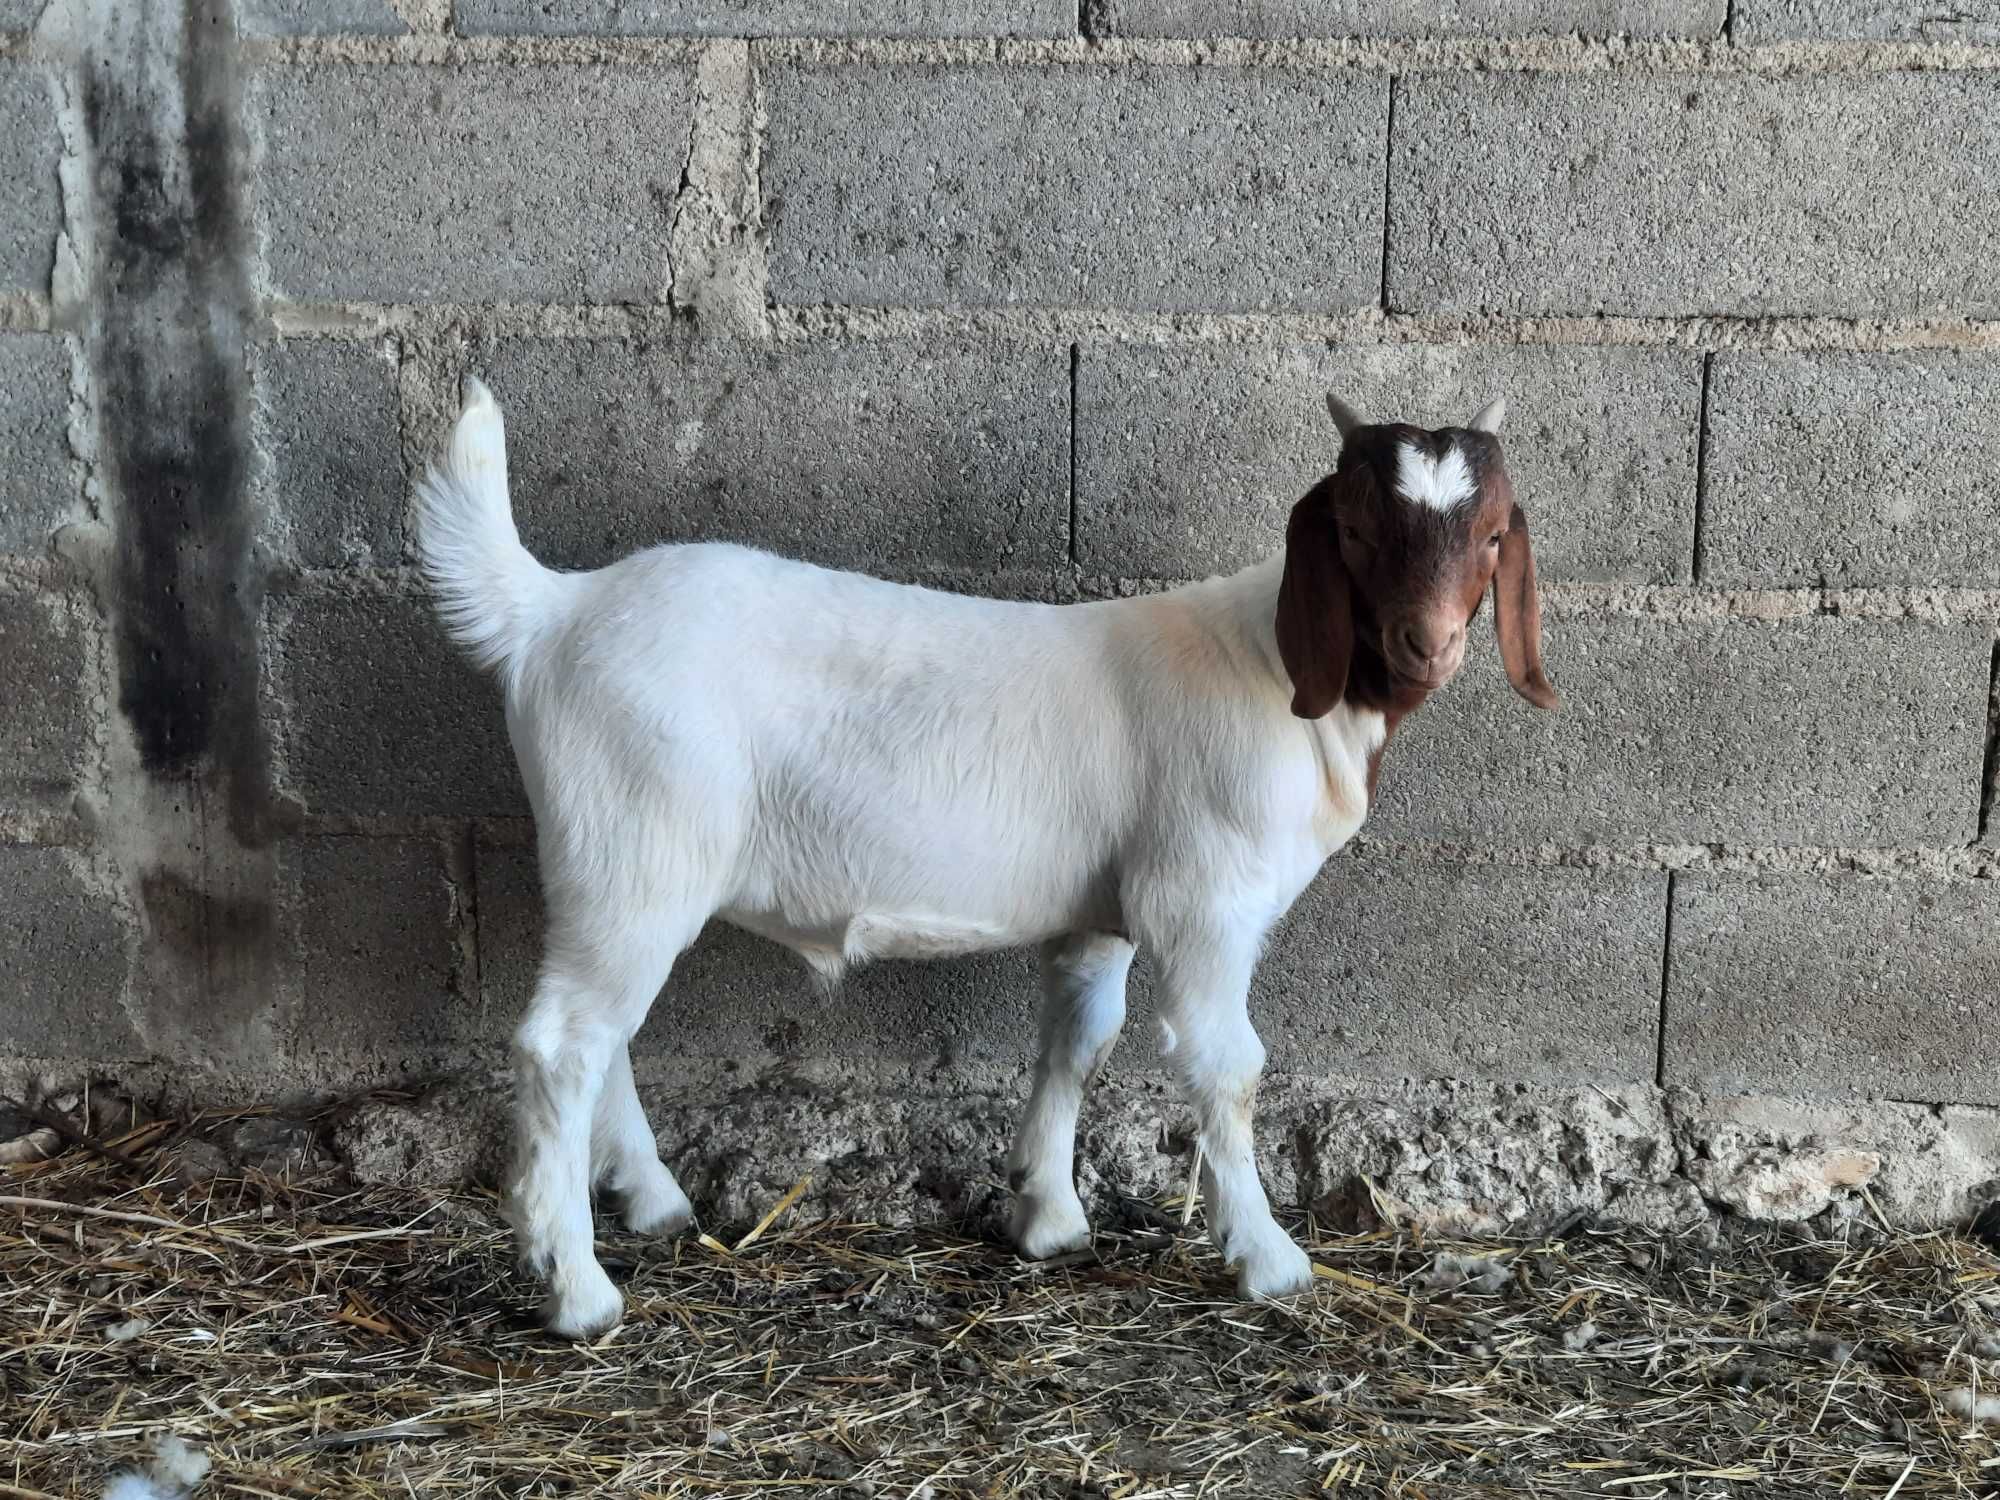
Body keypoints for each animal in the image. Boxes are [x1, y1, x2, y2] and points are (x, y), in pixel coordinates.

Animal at [414, 376, 1552, 1336]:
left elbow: (1078, 1039)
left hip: (618, 871)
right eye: (1355, 527)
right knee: (561, 1043)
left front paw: (1046, 1215)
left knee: (599, 1035)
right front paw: (1268, 1258)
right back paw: (576, 1288)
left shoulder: (1103, 910)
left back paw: (651, 1201)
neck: (1272, 667)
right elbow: (1227, 1067)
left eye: (1492, 532)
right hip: (635, 847)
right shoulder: (1202, 899)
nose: (1427, 646)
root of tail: (552, 611)